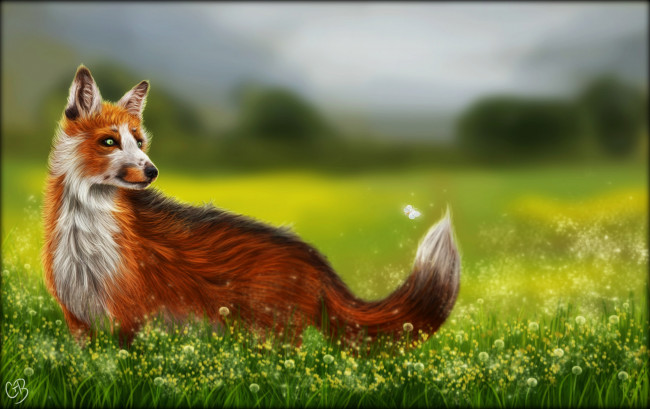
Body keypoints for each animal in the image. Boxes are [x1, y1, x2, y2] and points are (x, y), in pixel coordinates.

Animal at [42, 65, 461, 346]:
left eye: (140, 141)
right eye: (109, 141)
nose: (152, 171)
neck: (86, 240)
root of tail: (315, 258)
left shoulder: (131, 322)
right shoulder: (79, 323)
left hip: (270, 338)